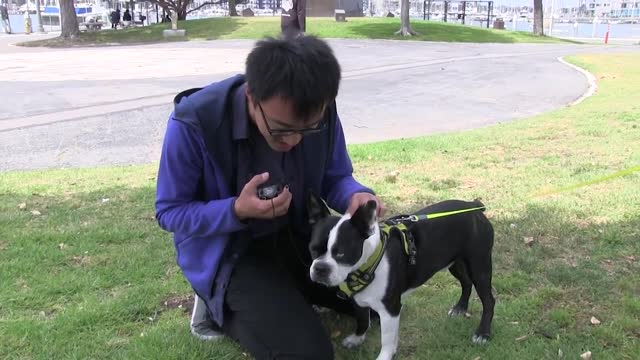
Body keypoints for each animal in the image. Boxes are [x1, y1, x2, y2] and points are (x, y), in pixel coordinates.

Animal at [304, 194, 496, 360]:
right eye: (313, 248)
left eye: (341, 254)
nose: (320, 268)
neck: (365, 265)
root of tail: (473, 207)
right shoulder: (359, 301)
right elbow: (362, 320)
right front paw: (357, 338)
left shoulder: (390, 309)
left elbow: (387, 339)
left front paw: (384, 357)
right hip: (456, 263)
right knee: (466, 283)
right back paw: (460, 308)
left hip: (479, 266)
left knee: (488, 300)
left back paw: (483, 333)